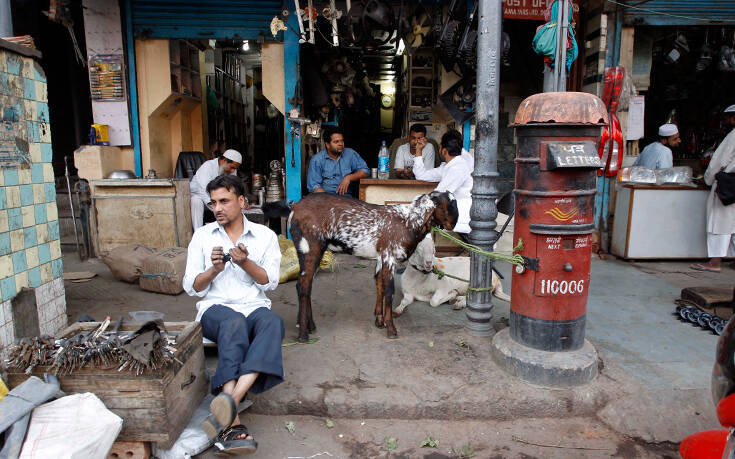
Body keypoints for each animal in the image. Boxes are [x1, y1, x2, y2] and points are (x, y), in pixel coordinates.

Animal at [264, 191, 458, 342]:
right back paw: (303, 334)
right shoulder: (390, 256)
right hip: (310, 247)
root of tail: (294, 207)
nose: (453, 224)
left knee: (306, 285)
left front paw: (379, 321)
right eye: (447, 204)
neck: (409, 220)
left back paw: (309, 326)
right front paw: (391, 329)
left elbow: (379, 284)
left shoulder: (381, 257)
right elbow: (389, 290)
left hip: (310, 251)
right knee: (303, 285)